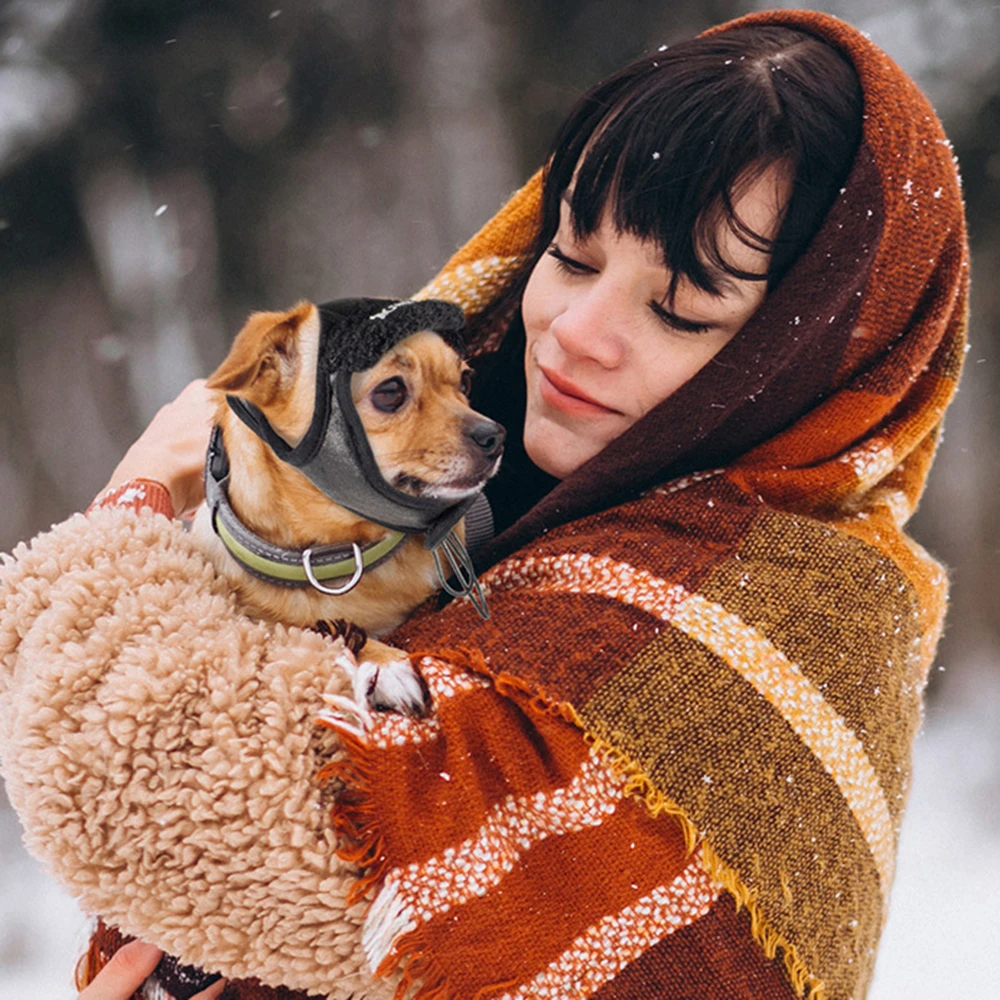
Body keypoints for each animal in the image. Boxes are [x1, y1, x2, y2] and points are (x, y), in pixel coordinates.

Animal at [188, 296, 504, 720]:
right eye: (390, 392)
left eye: (465, 382)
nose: (495, 436)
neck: (341, 554)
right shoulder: (259, 622)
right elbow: (304, 629)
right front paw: (383, 664)